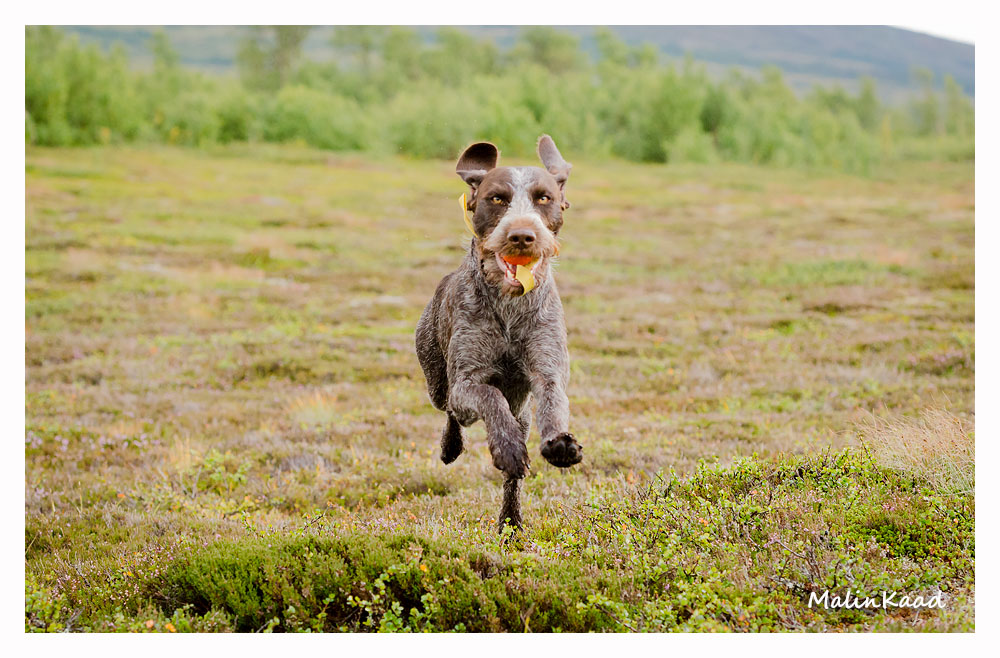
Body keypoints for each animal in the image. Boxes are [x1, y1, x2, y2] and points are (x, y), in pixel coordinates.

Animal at [415, 135, 583, 531]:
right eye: (496, 199)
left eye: (544, 198)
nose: (522, 235)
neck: (509, 306)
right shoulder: (466, 381)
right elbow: (489, 396)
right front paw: (506, 447)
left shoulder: (548, 370)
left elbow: (553, 404)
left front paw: (559, 442)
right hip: (437, 382)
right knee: (452, 413)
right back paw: (451, 448)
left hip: (520, 413)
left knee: (512, 479)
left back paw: (511, 522)